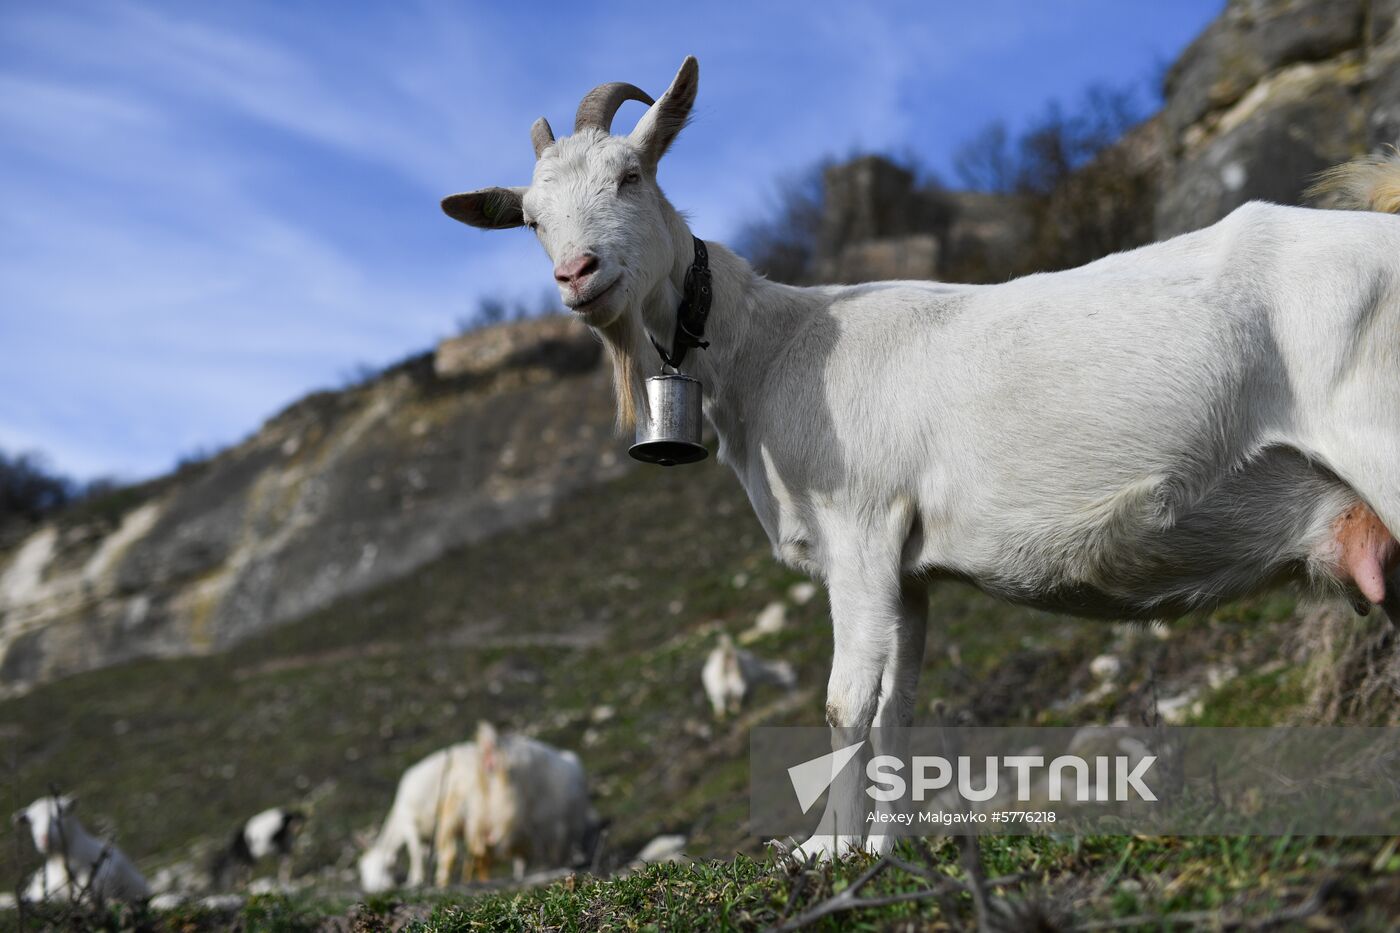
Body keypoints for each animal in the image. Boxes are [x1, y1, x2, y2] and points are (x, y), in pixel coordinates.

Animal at [442, 56, 1400, 857]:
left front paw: (823, 851)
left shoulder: (861, 528)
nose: (578, 273)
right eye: (531, 220)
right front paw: (881, 846)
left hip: (1378, 438)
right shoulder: (907, 566)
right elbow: (896, 704)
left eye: (631, 174)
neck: (771, 348)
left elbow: (845, 701)